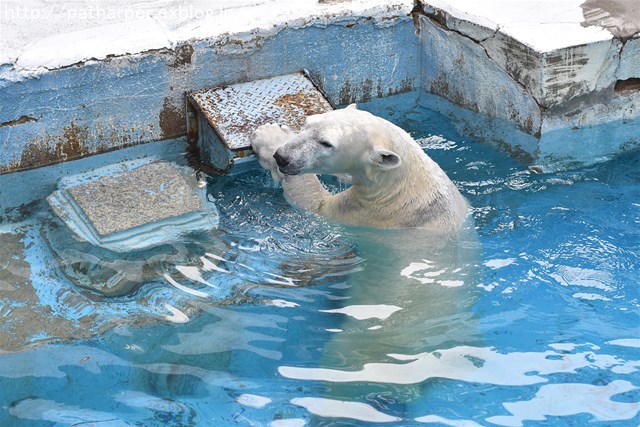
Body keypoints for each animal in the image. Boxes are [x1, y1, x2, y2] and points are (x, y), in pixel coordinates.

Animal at [249, 104, 464, 231]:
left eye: (326, 143)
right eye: (307, 122)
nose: (282, 157)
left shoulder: (366, 212)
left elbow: (313, 202)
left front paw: (269, 135)